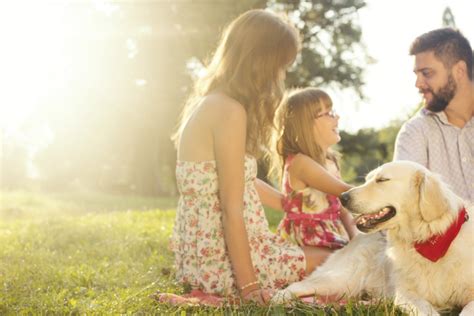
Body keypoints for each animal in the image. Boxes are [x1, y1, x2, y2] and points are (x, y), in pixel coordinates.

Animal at [272, 162, 472, 314]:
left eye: (382, 180)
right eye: (367, 179)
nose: (343, 197)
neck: (427, 240)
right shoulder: (405, 294)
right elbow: (427, 310)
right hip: (340, 281)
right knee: (295, 287)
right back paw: (277, 301)